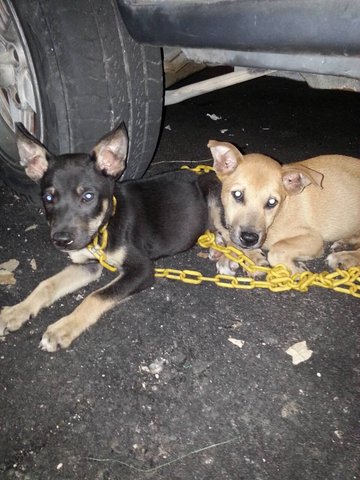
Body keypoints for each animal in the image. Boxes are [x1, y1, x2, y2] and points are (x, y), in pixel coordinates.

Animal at [0, 123, 218, 352]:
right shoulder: (87, 265)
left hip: (214, 195)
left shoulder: (142, 270)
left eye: (87, 196)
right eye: (48, 197)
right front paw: (16, 311)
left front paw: (62, 329)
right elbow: (46, 284)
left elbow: (95, 296)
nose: (61, 240)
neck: (103, 228)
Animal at [207, 140, 360, 274]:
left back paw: (344, 257)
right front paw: (239, 257)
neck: (279, 215)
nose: (249, 238)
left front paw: (298, 271)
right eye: (237, 194)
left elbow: (277, 250)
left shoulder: (313, 238)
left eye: (272, 202)